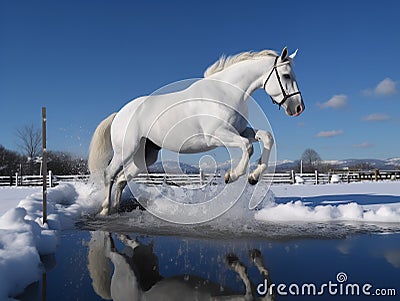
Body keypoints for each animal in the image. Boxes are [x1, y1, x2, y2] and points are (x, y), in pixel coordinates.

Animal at [89, 47, 304, 213]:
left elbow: (266, 137)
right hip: (125, 150)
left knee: (121, 179)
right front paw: (232, 176)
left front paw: (254, 176)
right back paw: (105, 210)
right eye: (286, 75)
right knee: (109, 174)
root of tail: (120, 113)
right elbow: (247, 146)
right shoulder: (218, 135)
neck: (226, 92)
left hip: (144, 157)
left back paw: (116, 208)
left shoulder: (240, 130)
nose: (298, 108)